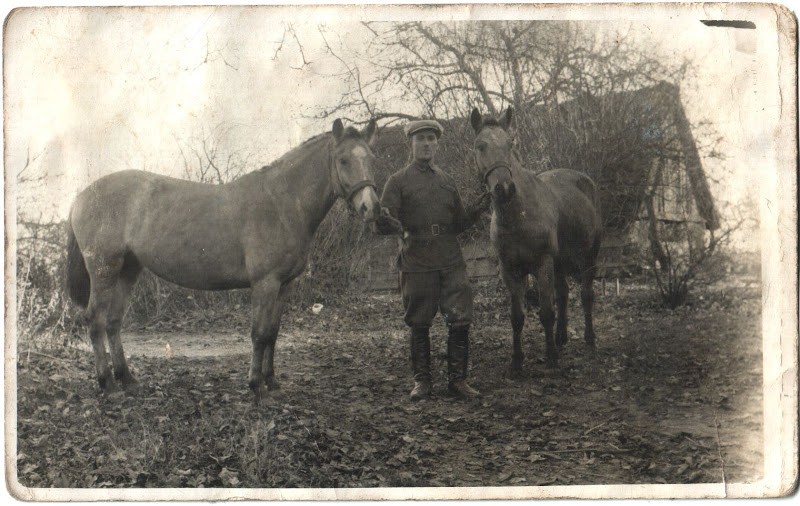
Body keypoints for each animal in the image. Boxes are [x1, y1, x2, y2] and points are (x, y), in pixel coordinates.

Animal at [66, 119, 379, 403]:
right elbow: (259, 333)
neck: (281, 203)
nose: (371, 207)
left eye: (370, 158)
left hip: (128, 270)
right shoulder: (265, 283)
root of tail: (81, 197)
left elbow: (273, 333)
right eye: (343, 160)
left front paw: (272, 382)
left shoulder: (284, 284)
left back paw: (127, 379)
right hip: (104, 270)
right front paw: (256, 386)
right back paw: (108, 384)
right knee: (95, 320)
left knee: (113, 322)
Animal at [469, 107, 602, 371]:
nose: (504, 188)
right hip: (559, 262)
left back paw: (589, 339)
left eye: (510, 144)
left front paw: (550, 357)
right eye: (480, 146)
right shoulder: (509, 270)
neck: (518, 216)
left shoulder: (543, 263)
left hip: (587, 258)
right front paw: (517, 361)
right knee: (563, 293)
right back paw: (561, 338)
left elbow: (547, 312)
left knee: (585, 295)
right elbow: (517, 317)